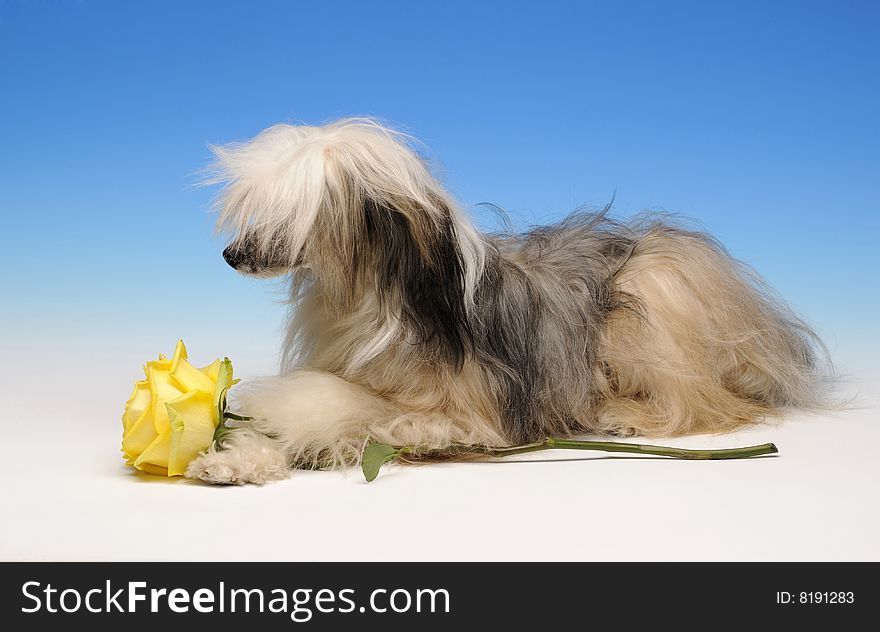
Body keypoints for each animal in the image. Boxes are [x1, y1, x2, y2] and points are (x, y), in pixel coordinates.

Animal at [186, 118, 824, 484]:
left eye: (282, 219)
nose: (230, 255)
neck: (374, 297)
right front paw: (236, 458)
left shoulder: (469, 417)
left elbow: (346, 408)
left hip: (652, 294)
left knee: (711, 405)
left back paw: (627, 414)